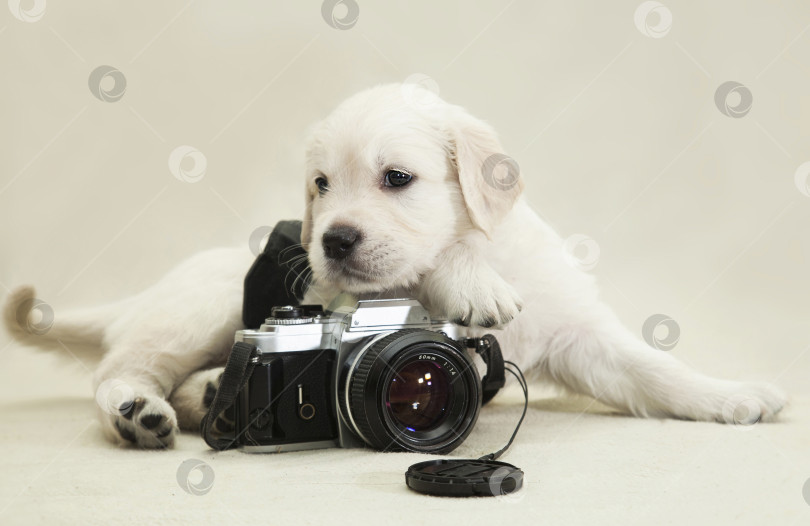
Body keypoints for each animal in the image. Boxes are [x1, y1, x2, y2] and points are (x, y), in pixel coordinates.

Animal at [0, 84, 784, 448]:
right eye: (320, 185)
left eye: (396, 178)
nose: (332, 240)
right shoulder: (341, 297)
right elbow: (412, 275)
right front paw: (465, 279)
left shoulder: (579, 334)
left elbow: (653, 370)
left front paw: (731, 396)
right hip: (205, 303)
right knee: (119, 369)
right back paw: (140, 412)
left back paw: (203, 397)